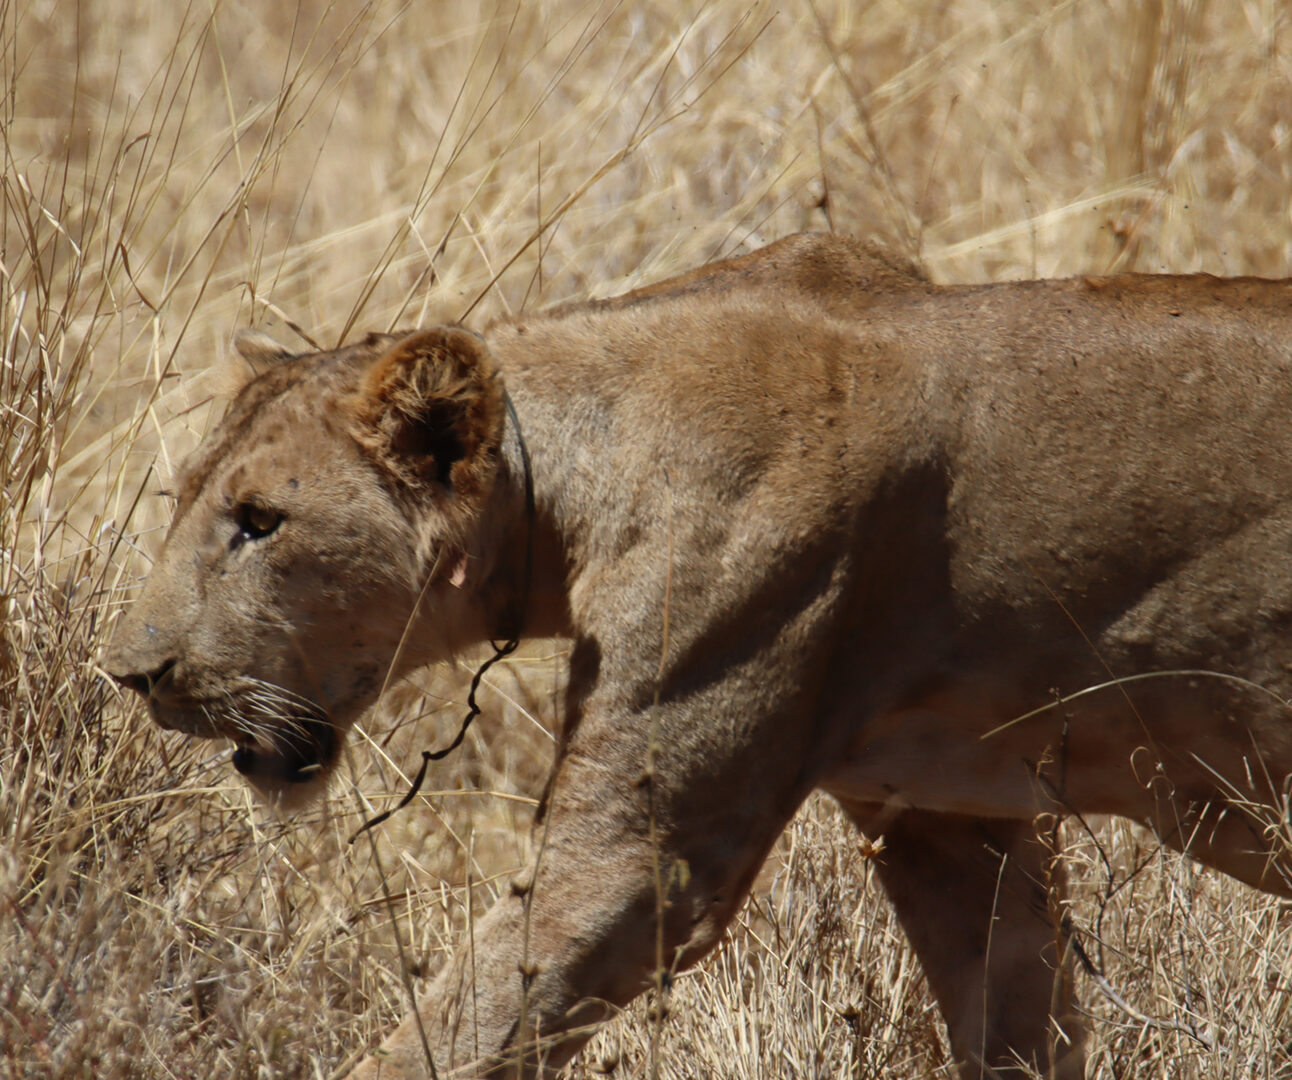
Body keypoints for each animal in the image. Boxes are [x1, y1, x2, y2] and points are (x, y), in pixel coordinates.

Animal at [106, 232, 1292, 1079]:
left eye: (259, 522)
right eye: (184, 501)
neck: (572, 477)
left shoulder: (648, 852)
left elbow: (465, 1018)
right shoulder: (949, 820)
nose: (128, 673)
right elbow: (1016, 1013)